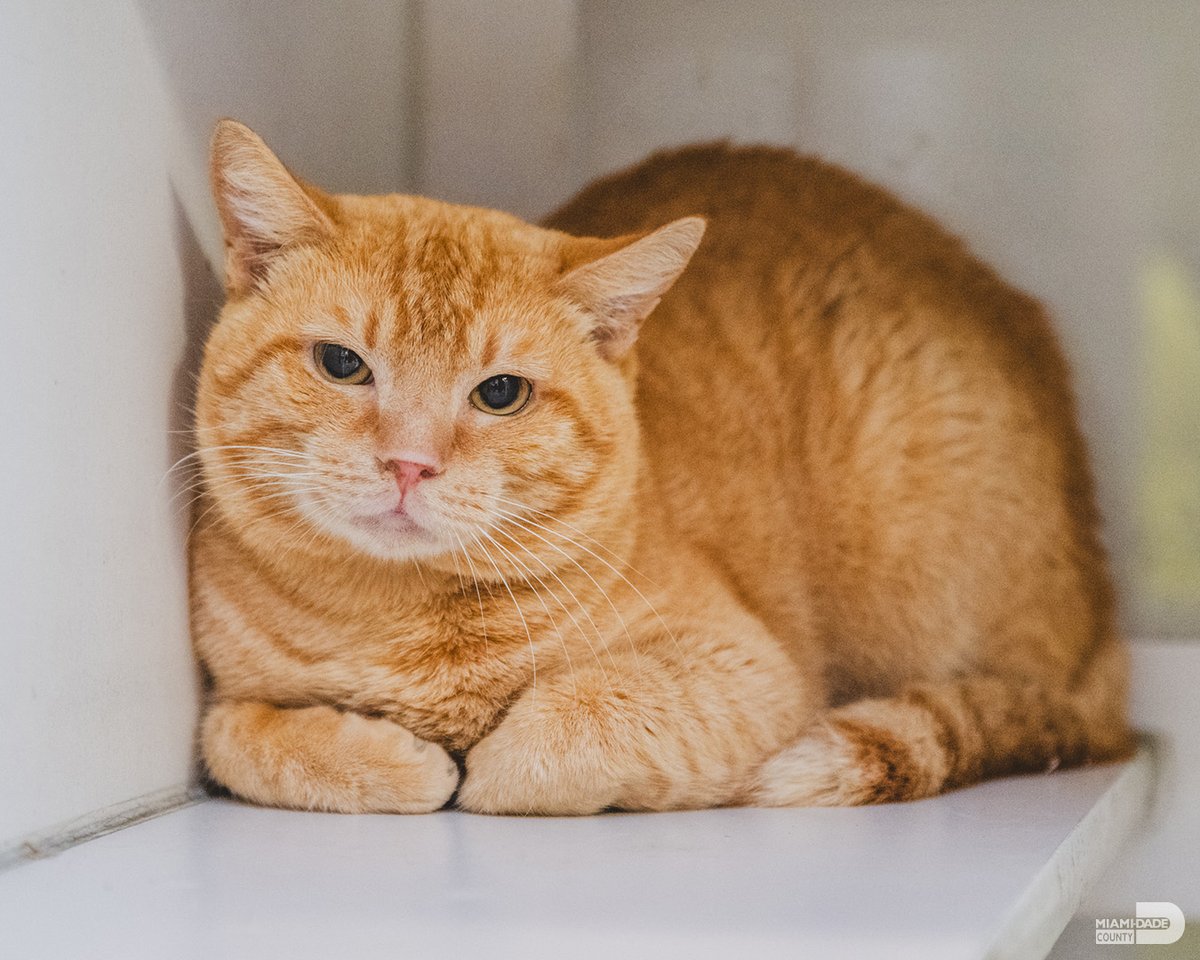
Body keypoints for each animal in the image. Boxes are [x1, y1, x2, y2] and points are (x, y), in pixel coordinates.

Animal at [189, 116, 1132, 816]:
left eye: (500, 393)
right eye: (341, 365)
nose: (409, 464)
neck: (406, 625)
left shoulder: (749, 673)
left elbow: (574, 715)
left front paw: (486, 766)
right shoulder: (227, 691)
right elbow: (235, 736)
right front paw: (394, 760)